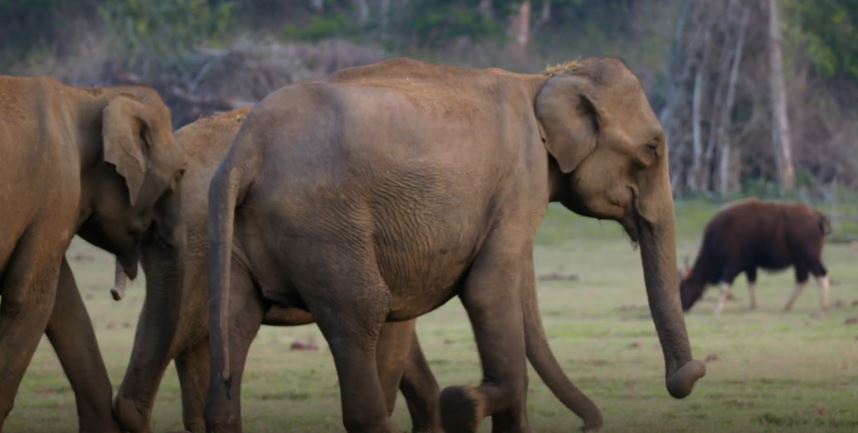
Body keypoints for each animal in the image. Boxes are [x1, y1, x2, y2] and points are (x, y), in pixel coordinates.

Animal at [0, 77, 187, 432]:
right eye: (179, 175)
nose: (115, 294)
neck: (88, 95)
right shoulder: (56, 187)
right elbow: (28, 298)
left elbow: (63, 303)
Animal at [204, 57, 704, 432]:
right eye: (652, 150)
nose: (690, 375)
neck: (544, 80)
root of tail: (244, 151)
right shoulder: (521, 181)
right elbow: (488, 292)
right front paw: (466, 403)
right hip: (324, 226)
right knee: (361, 315)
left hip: (240, 239)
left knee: (232, 337)